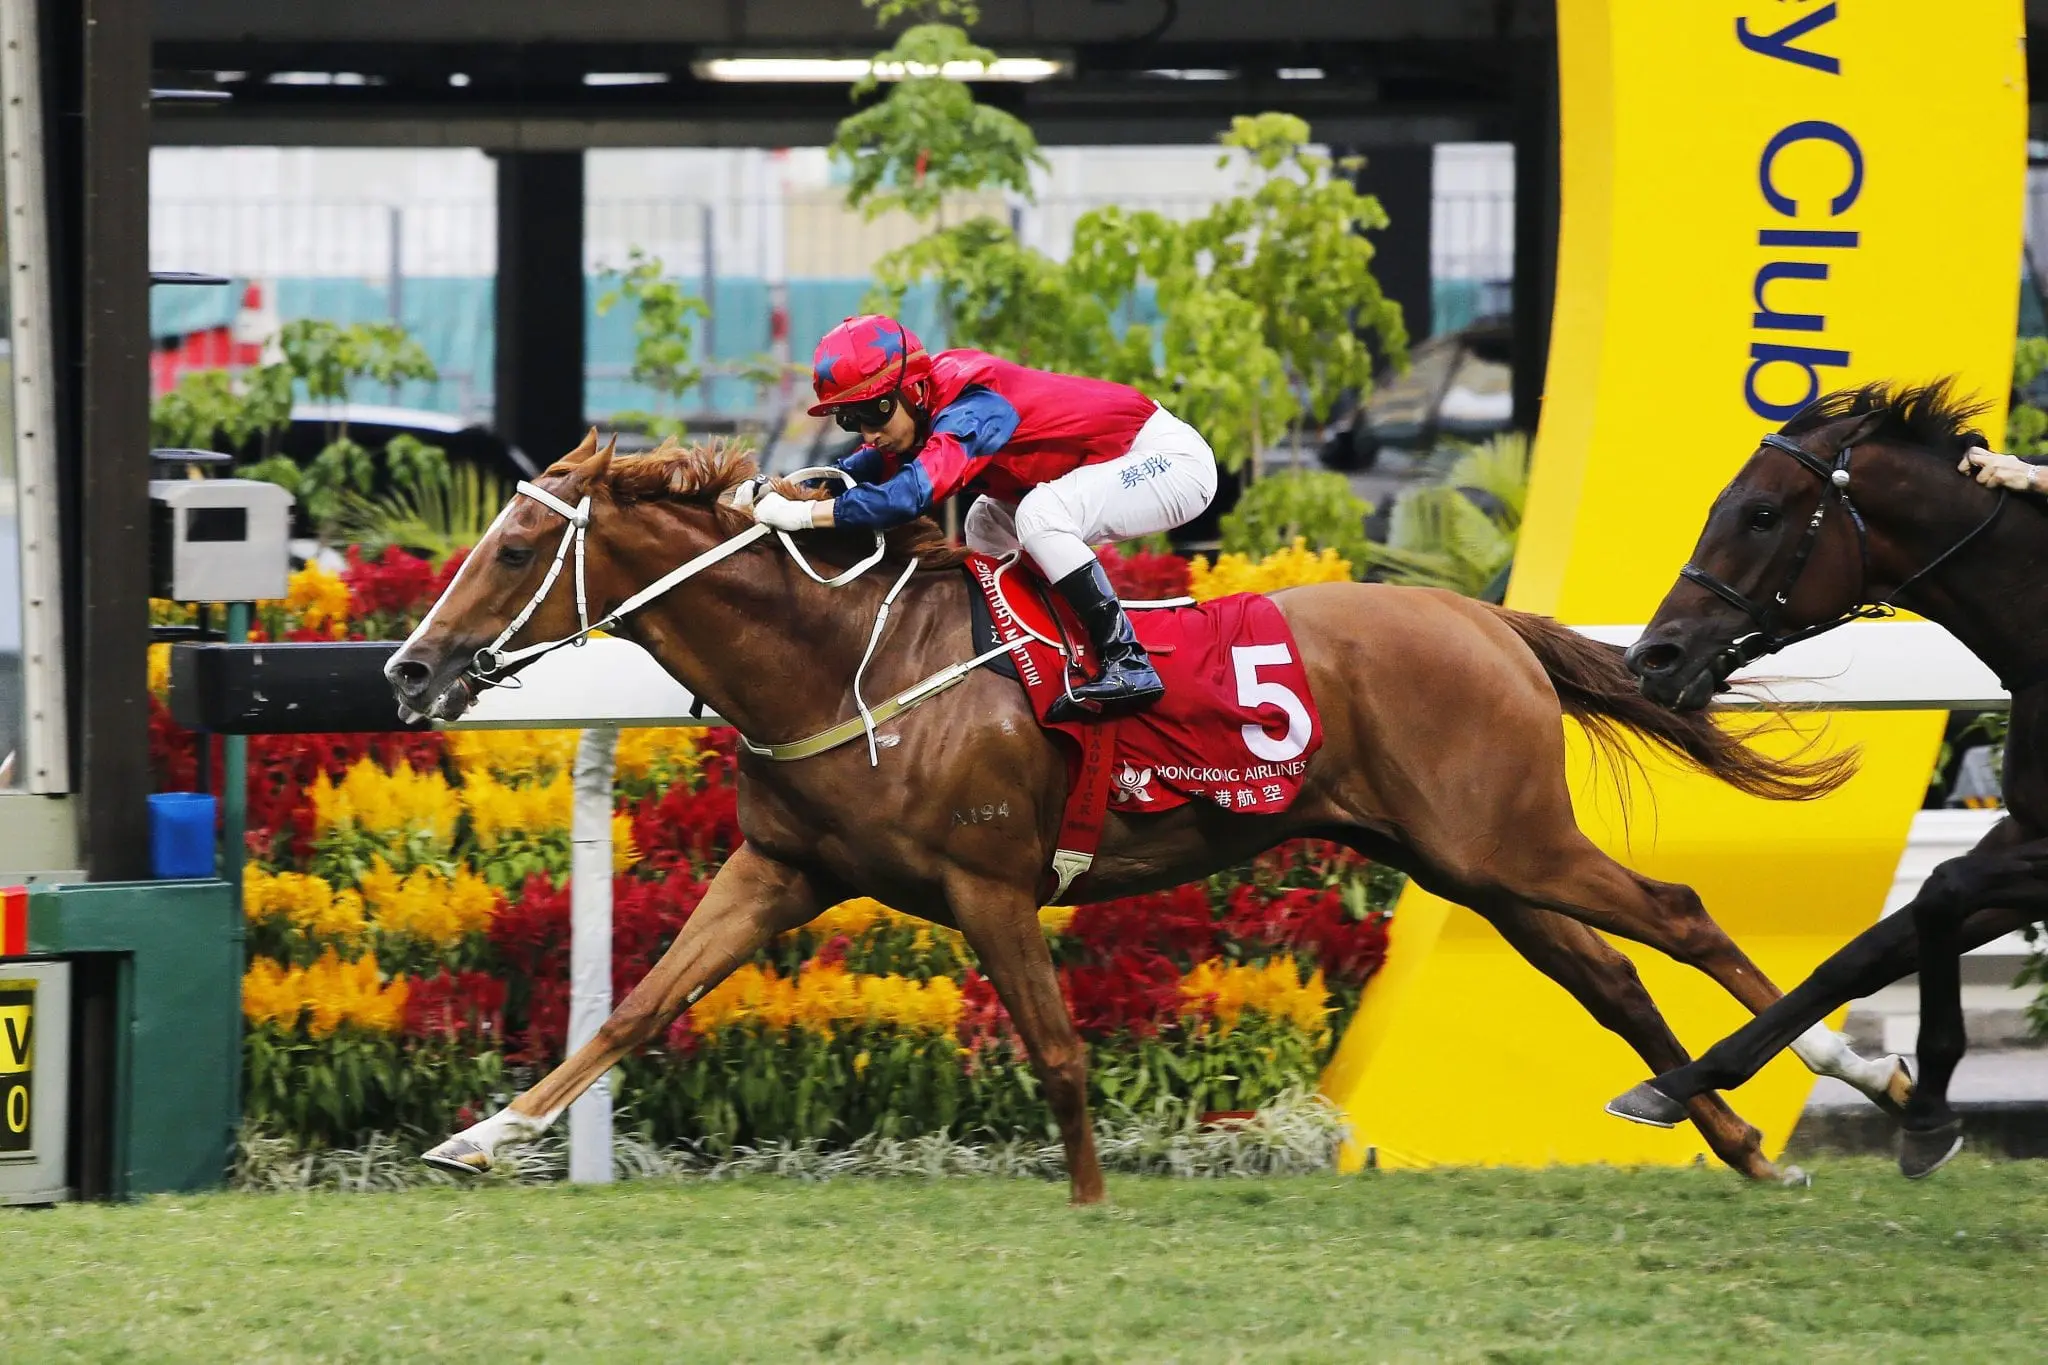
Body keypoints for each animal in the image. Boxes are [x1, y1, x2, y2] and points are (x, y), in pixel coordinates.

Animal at [385, 431, 1900, 1203]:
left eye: (513, 548)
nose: (407, 671)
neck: (841, 659)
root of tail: (1482, 619)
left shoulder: (991, 886)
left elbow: (1058, 1053)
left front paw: (1088, 1201)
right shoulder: (780, 869)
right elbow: (632, 1011)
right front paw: (480, 1138)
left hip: (1510, 839)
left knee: (1678, 917)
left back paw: (1858, 1073)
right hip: (1472, 864)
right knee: (1612, 982)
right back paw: (1743, 1144)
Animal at [1605, 378, 2039, 1178]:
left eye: (1762, 515)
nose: (1652, 658)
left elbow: (1940, 890)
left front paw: (1927, 1112)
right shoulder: (2023, 835)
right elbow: (1863, 952)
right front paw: (1677, 1082)